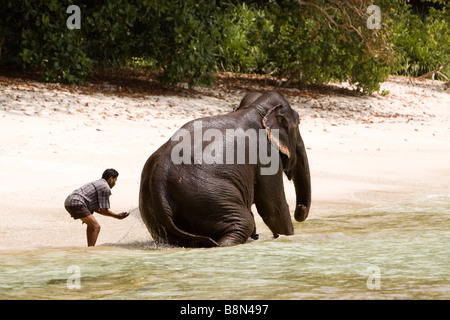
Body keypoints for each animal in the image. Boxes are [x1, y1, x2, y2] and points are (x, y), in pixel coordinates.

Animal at [139, 90, 312, 248]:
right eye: (298, 124)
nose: (300, 209)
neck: (255, 108)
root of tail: (158, 186)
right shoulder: (267, 156)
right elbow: (274, 210)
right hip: (208, 197)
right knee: (243, 222)